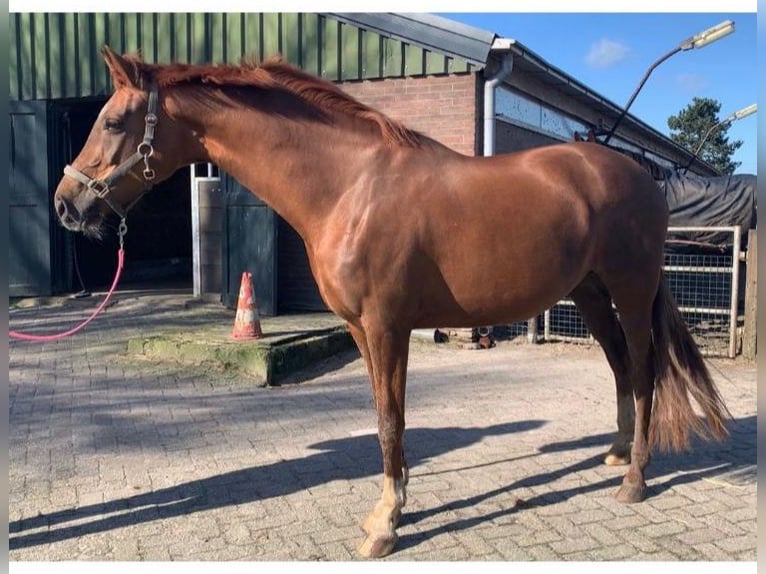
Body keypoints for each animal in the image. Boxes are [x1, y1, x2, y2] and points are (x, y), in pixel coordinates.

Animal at [53, 46, 729, 558]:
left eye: (113, 122)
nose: (66, 204)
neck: (350, 187)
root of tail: (641, 175)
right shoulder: (359, 329)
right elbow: (386, 416)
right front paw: (391, 506)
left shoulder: (386, 327)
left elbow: (389, 420)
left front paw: (386, 524)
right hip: (588, 294)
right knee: (619, 367)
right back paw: (615, 454)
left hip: (631, 292)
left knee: (644, 371)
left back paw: (636, 477)